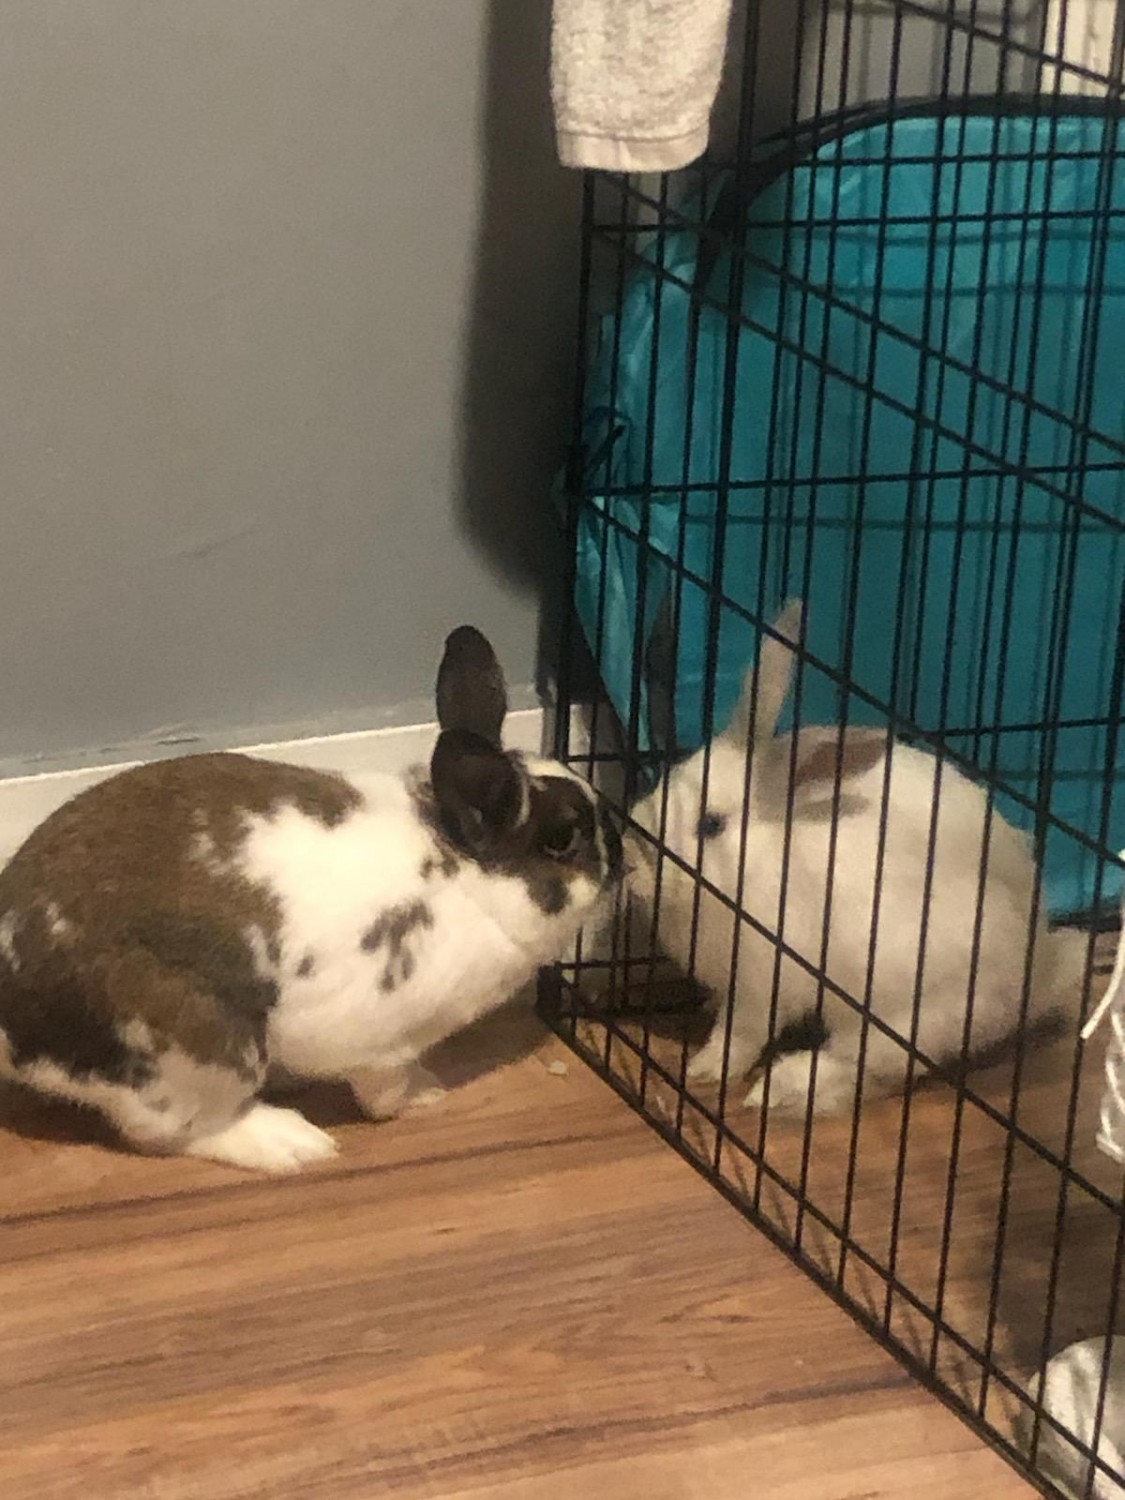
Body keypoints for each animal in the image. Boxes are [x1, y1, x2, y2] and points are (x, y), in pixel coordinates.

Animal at [0, 626, 622, 1172]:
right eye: (561, 838)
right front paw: (425, 1094)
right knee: (168, 1132)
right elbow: (384, 1090)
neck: (466, 877)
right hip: (199, 1049)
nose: (619, 856)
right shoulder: (384, 1045)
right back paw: (290, 1142)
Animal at [628, 601, 1086, 1117]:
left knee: (866, 1068)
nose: (631, 856)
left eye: (711, 825)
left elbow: (740, 1034)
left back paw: (779, 1090)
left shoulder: (762, 983)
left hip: (908, 1015)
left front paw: (705, 1068)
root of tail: (1036, 973)